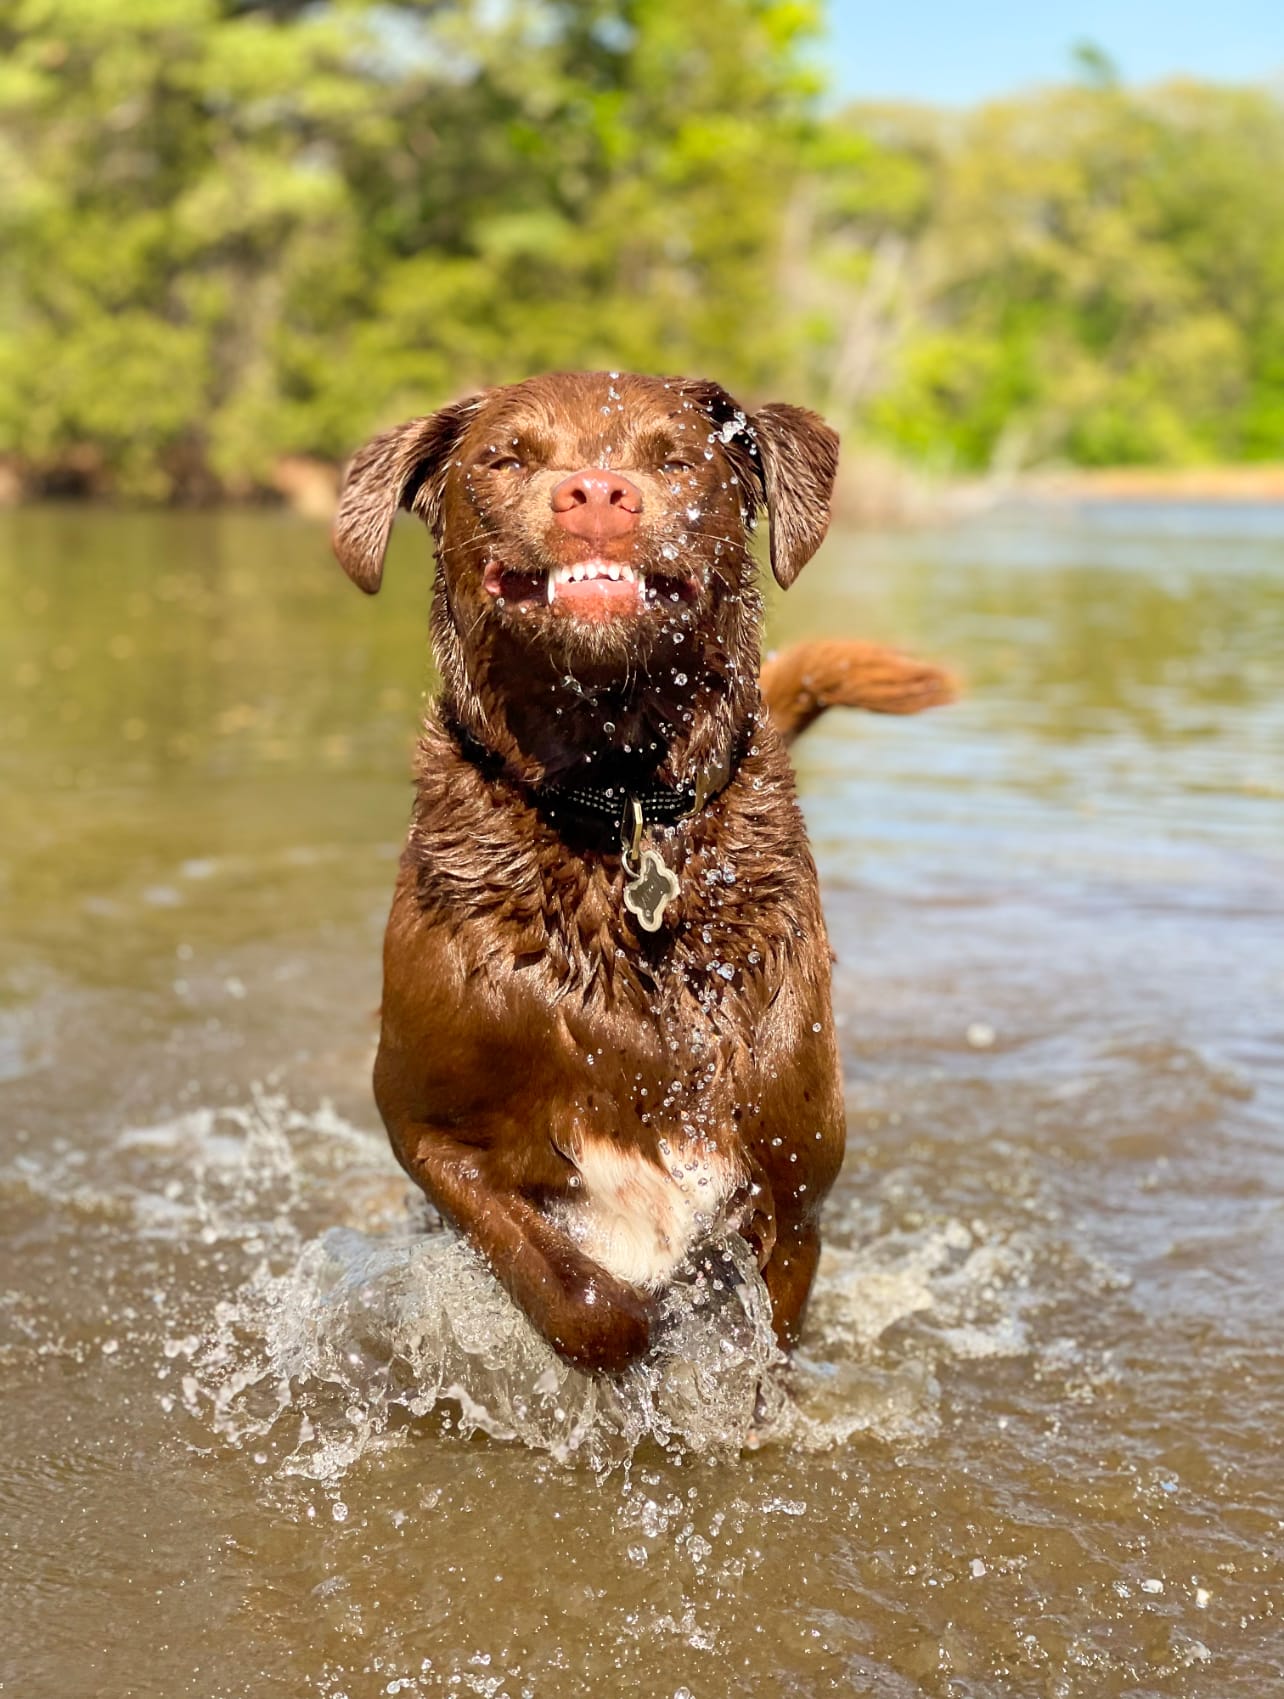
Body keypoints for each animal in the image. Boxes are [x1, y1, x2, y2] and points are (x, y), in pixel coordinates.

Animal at [331, 368, 951, 1365]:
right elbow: (582, 1297)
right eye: (506, 457)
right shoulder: (426, 1123)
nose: (595, 494)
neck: (616, 802)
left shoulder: (793, 1189)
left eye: (676, 458)